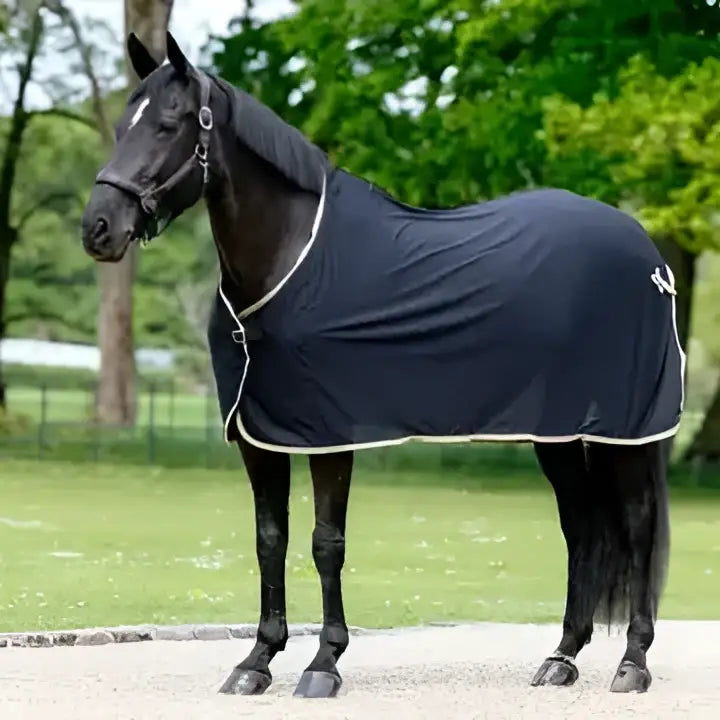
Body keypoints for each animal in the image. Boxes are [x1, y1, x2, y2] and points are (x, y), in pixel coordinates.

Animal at [80, 31, 684, 698]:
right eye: (120, 128)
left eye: (167, 125)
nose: (98, 228)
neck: (291, 258)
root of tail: (650, 257)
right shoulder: (261, 437)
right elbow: (269, 540)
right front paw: (256, 661)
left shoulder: (328, 434)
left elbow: (326, 543)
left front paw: (323, 664)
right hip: (558, 431)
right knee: (581, 527)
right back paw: (562, 658)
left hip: (625, 431)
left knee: (638, 527)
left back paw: (633, 663)